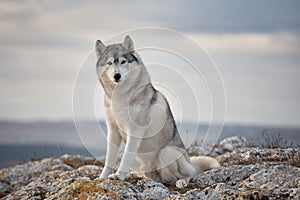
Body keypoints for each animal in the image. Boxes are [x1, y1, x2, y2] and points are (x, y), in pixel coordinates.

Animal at [96, 35, 220, 188]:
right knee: (156, 177)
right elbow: (109, 161)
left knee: (187, 175)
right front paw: (102, 178)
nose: (116, 76)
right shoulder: (113, 132)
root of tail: (190, 161)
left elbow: (125, 158)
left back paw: (181, 182)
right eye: (109, 63)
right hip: (144, 165)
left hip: (167, 153)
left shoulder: (135, 132)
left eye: (123, 61)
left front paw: (118, 176)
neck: (120, 96)